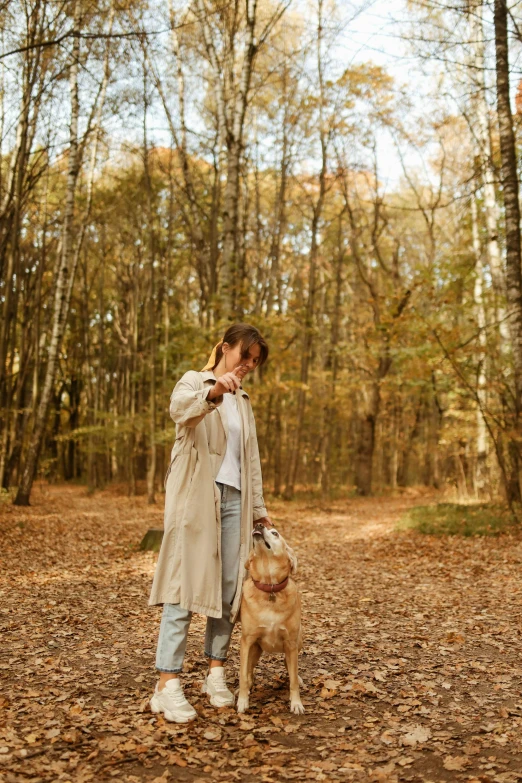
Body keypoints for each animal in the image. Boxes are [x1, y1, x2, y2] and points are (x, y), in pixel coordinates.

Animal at [237, 524, 304, 712]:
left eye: (275, 533)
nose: (258, 525)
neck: (270, 588)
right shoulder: (247, 641)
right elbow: (243, 675)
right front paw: (242, 701)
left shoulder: (291, 643)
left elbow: (293, 680)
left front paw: (296, 703)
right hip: (254, 650)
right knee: (249, 671)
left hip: (298, 641)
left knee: (290, 668)